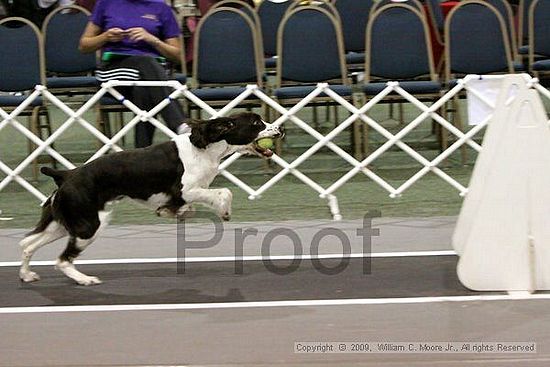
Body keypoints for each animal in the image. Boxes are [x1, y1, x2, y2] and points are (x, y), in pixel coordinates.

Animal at [19, 113, 282, 286]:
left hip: (63, 223)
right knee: (62, 260)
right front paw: (223, 211)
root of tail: (66, 174)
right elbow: (224, 192)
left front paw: (173, 212)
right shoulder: (186, 189)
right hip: (87, 225)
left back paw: (27, 275)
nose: (279, 129)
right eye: (257, 123)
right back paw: (86, 279)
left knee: (27, 244)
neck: (205, 148)